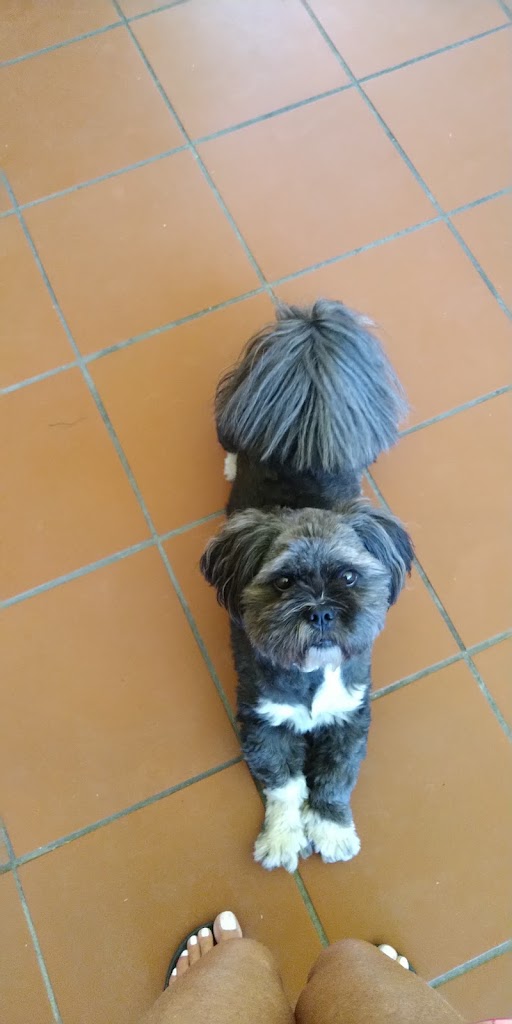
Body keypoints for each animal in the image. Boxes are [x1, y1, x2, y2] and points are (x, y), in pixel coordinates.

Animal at [200, 300, 413, 872]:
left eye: (348, 576)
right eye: (283, 582)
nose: (318, 610)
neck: (314, 676)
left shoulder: (349, 719)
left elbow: (334, 782)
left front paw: (333, 831)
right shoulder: (264, 721)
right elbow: (285, 786)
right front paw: (281, 838)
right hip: (235, 422)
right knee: (231, 438)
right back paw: (230, 461)